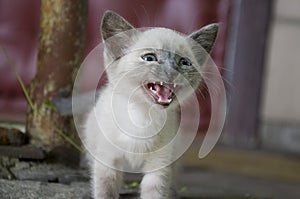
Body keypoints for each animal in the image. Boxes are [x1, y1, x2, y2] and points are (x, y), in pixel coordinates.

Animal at [84, 10, 218, 199]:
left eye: (184, 62)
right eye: (149, 58)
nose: (172, 71)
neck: (142, 117)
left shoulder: (159, 167)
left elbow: (155, 192)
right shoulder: (107, 162)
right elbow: (105, 193)